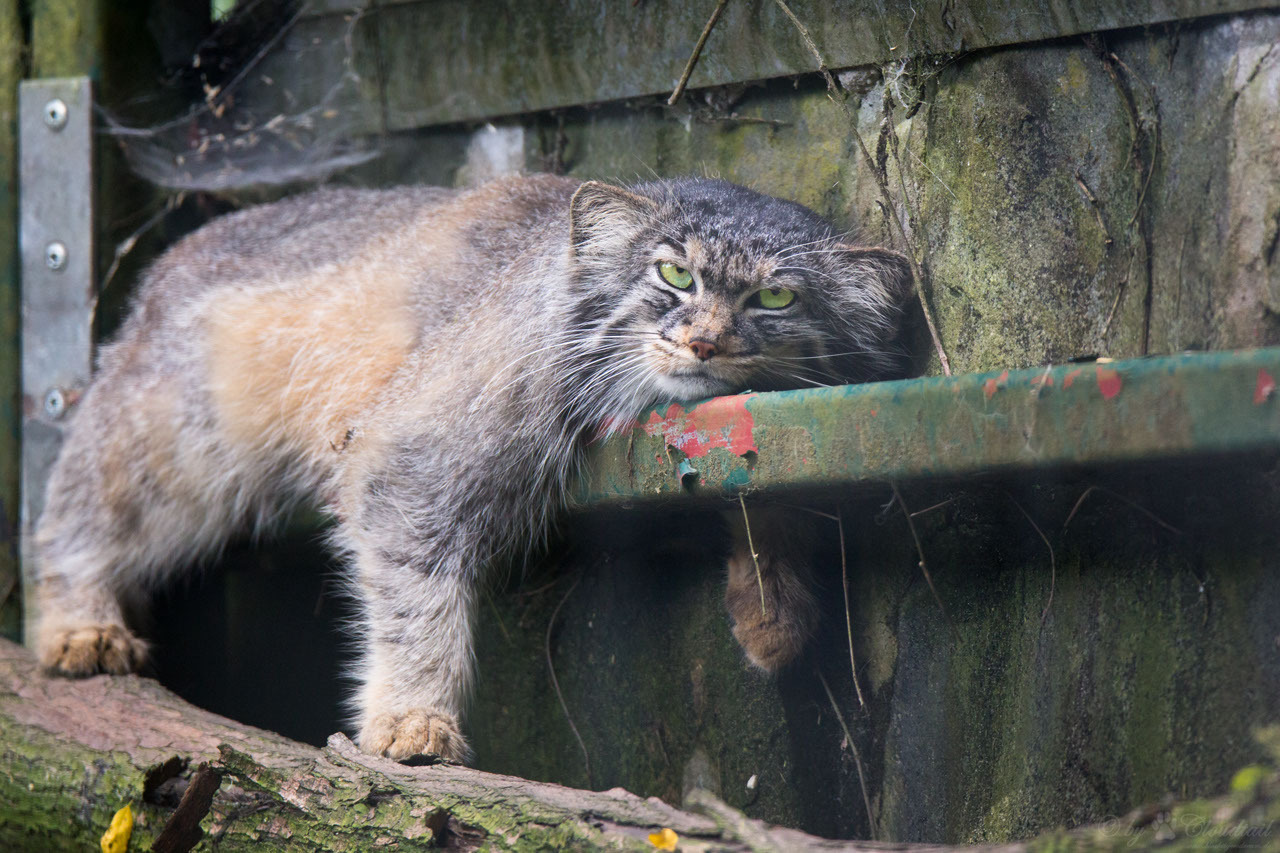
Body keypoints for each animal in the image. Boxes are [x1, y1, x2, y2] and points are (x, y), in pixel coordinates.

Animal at [32, 172, 911, 758]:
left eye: (775, 300)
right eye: (673, 274)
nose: (703, 343)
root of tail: (171, 258)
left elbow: (768, 482)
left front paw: (774, 608)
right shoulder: (409, 458)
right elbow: (419, 601)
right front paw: (414, 716)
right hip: (178, 446)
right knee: (72, 511)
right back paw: (80, 620)